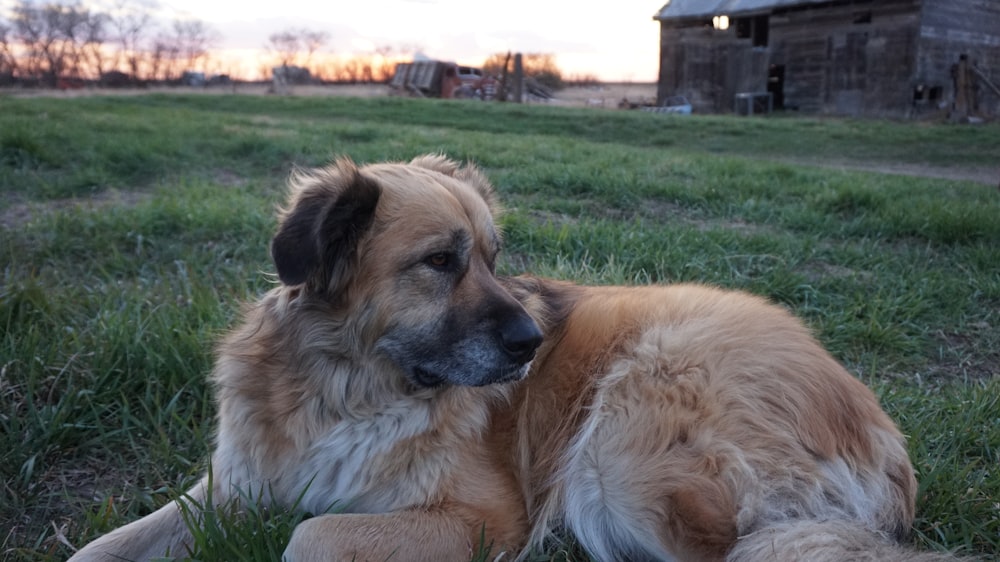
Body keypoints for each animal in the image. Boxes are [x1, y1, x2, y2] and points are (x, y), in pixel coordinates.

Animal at [70, 154, 944, 560]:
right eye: (441, 262)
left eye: (494, 258)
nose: (532, 342)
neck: (344, 387)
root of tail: (881, 432)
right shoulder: (230, 485)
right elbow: (101, 546)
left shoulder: (479, 518)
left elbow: (306, 534)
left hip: (626, 442)